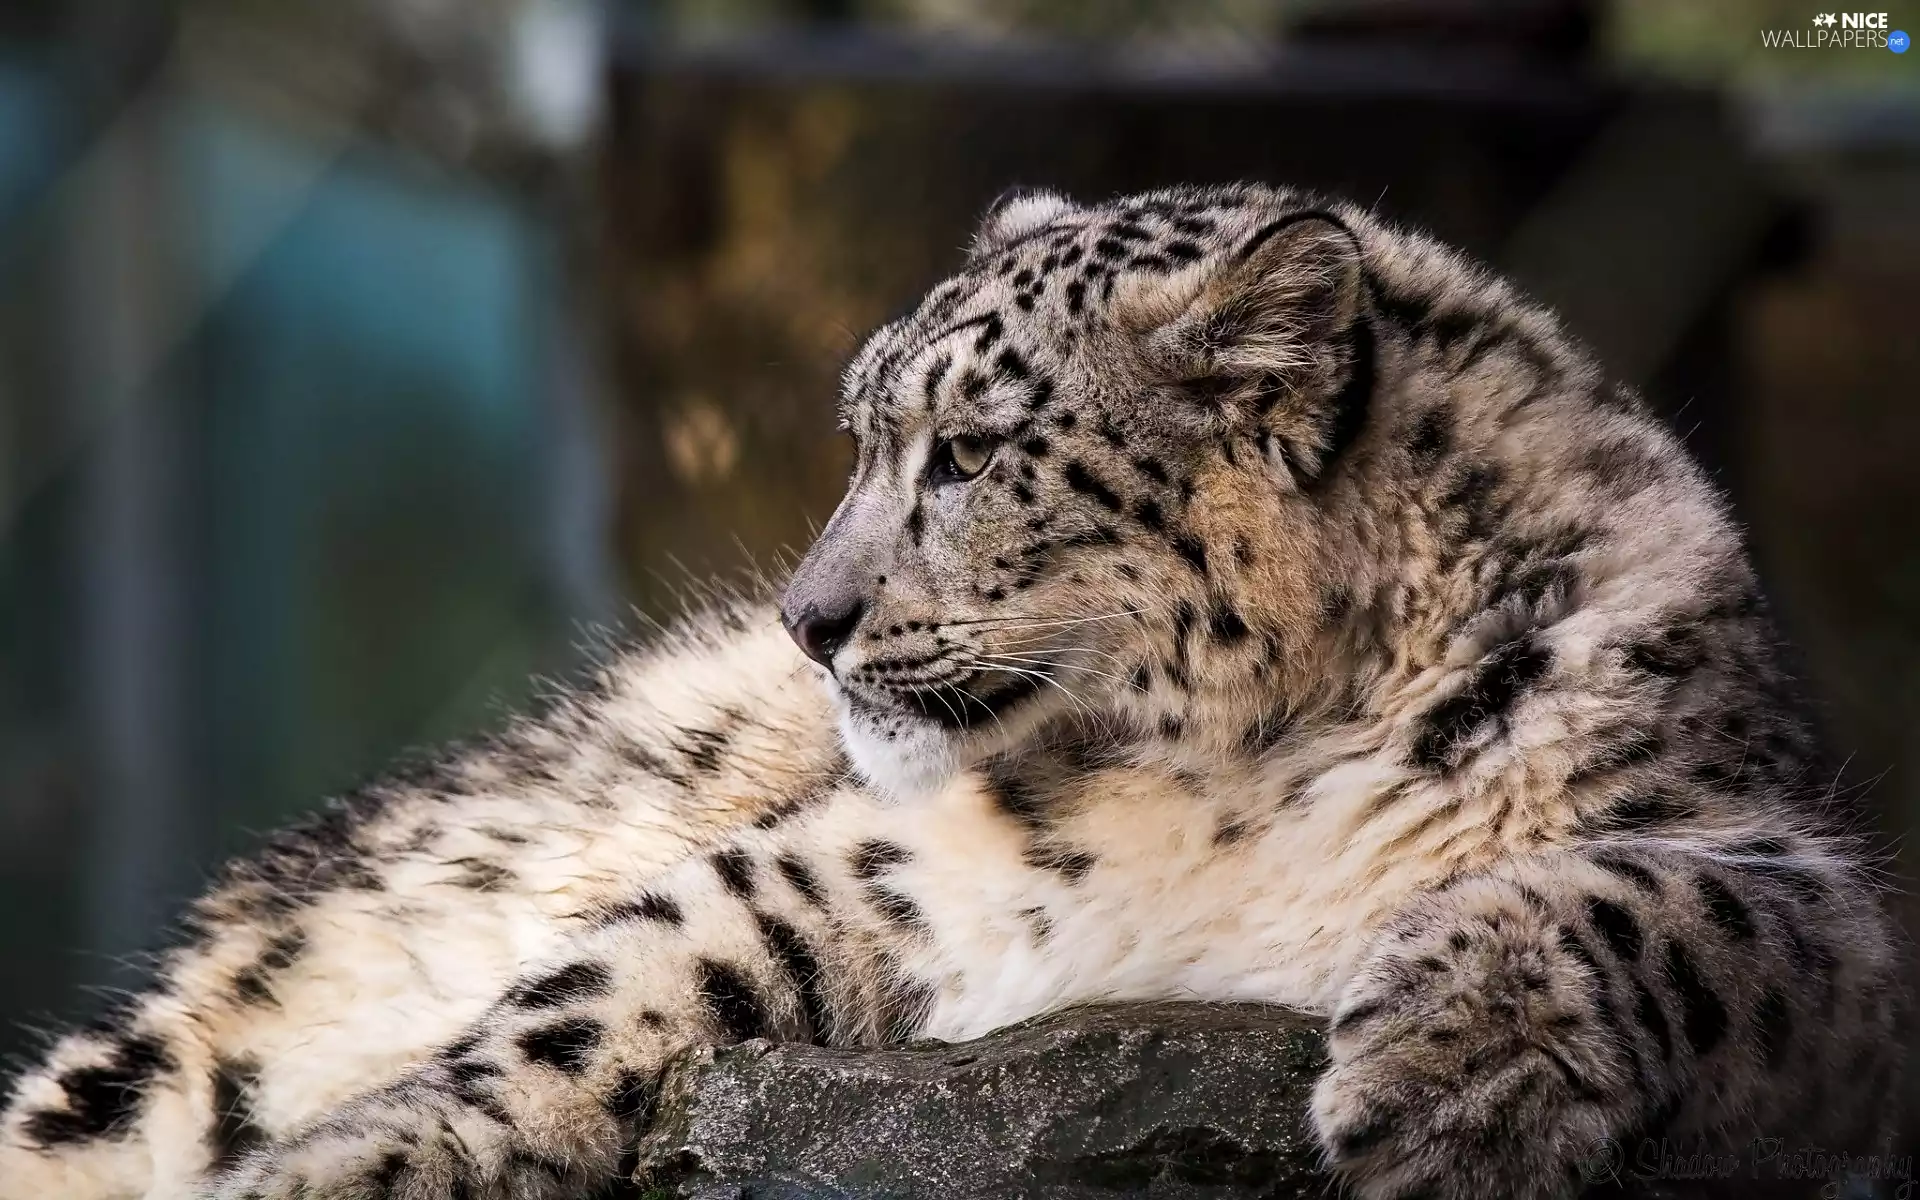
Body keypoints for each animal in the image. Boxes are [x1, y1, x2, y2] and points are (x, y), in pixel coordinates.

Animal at [0, 182, 1904, 1200]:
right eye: (864, 437)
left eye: (973, 453)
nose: (808, 617)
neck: (1241, 788)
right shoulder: (879, 862)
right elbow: (614, 983)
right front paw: (353, 1158)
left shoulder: (1797, 882)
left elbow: (1651, 903)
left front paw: (1448, 1077)